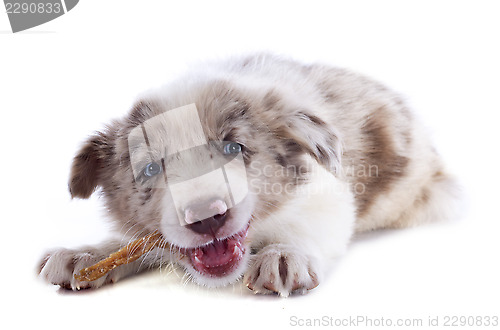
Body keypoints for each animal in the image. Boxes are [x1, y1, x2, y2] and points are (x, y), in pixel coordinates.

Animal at [38, 54, 458, 296]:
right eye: (151, 169)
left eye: (234, 149)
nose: (206, 218)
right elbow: (135, 242)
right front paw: (89, 253)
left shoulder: (328, 191)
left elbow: (310, 223)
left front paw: (284, 253)